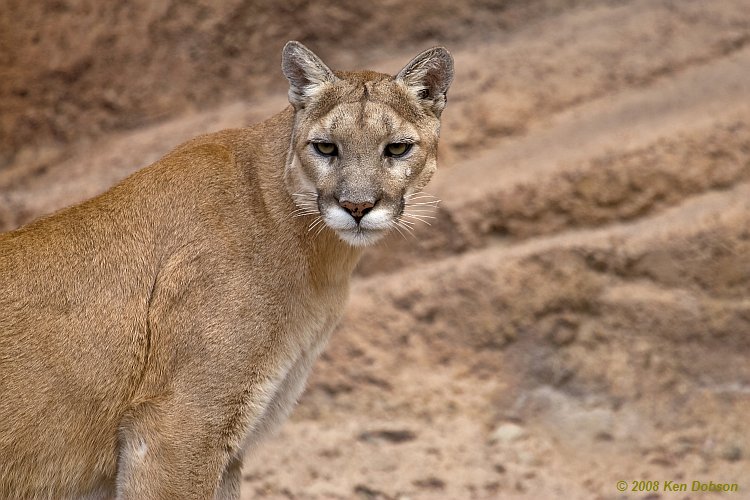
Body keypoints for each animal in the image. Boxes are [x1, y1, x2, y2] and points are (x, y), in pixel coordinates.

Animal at [0, 41, 452, 498]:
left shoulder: (229, 444)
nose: (357, 207)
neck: (317, 256)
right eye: (325, 147)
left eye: (396, 148)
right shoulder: (179, 427)